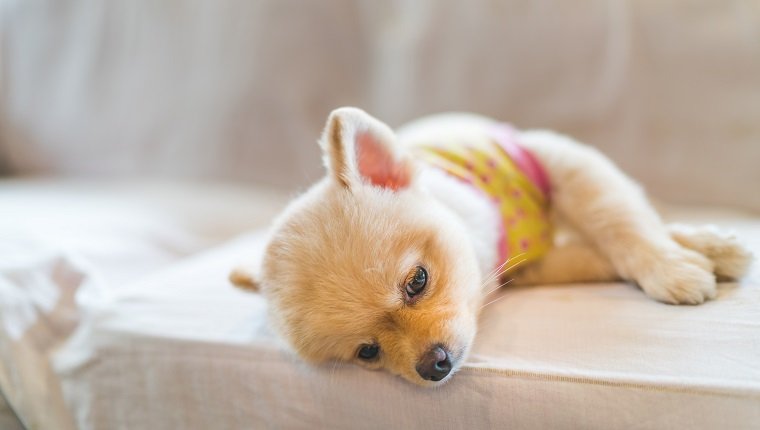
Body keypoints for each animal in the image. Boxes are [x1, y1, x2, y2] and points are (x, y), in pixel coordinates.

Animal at [229, 107, 752, 386]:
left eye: (416, 281)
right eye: (368, 352)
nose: (433, 365)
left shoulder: (557, 159)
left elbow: (618, 219)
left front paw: (674, 261)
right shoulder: (530, 266)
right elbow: (599, 253)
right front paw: (689, 257)